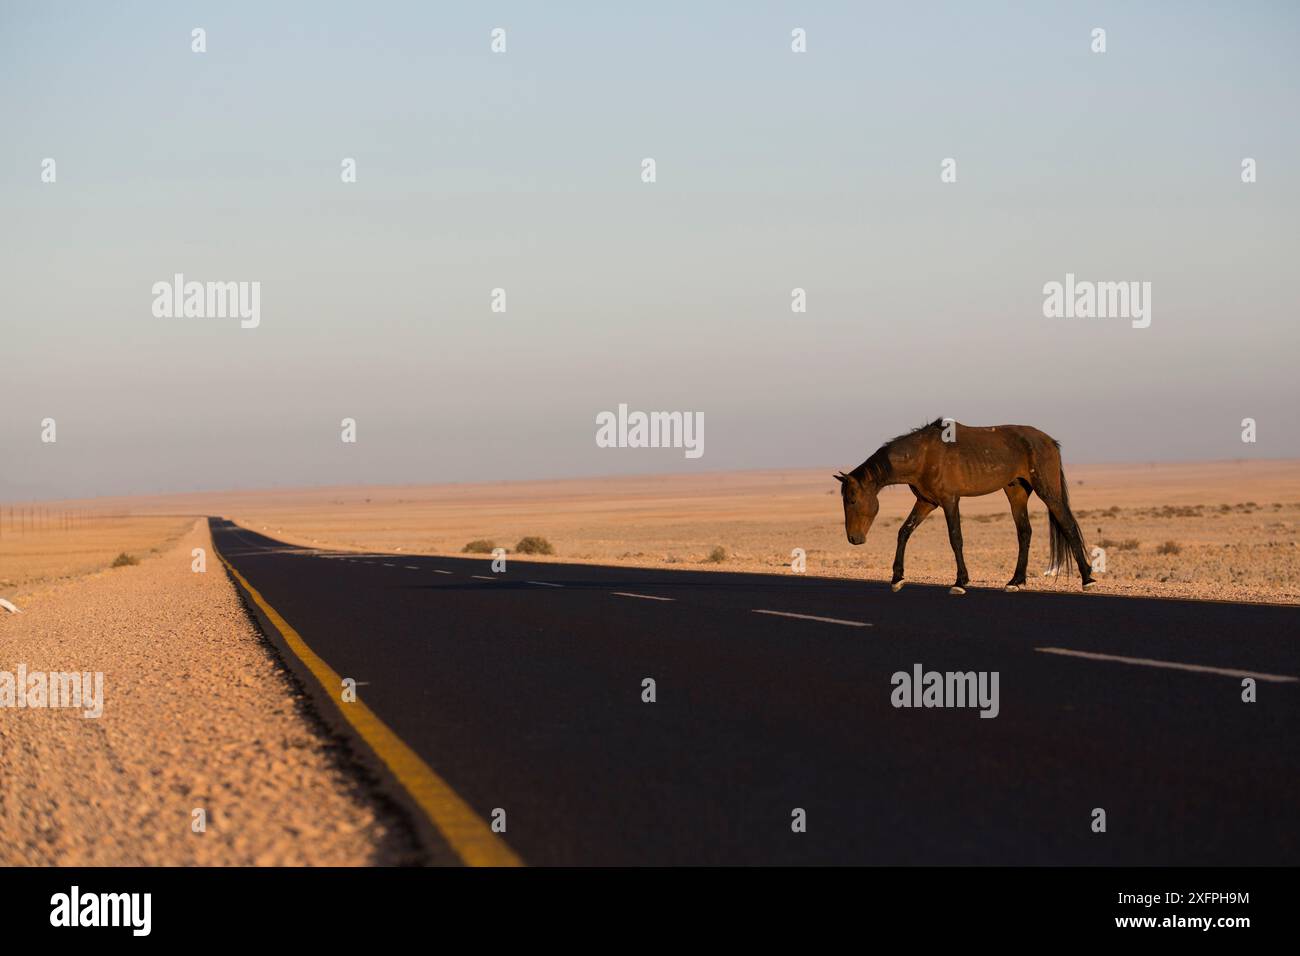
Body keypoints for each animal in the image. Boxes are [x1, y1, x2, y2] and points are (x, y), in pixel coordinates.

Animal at [832, 416, 1097, 590]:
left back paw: (1087, 579)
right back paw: (1016, 581)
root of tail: (1049, 441)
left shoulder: (950, 500)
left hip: (1047, 490)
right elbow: (904, 532)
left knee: (1068, 525)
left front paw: (960, 581)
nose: (854, 538)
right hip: (1016, 491)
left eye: (852, 500)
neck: (922, 455)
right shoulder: (926, 502)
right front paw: (897, 578)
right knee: (1024, 532)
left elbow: (955, 537)